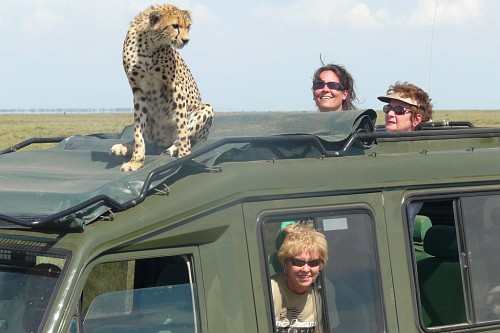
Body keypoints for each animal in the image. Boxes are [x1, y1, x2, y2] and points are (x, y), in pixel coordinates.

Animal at [110, 4, 214, 171]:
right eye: (175, 26)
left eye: (188, 26)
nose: (186, 40)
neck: (148, 44)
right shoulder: (138, 91)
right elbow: (138, 133)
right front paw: (136, 160)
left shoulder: (176, 88)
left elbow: (182, 129)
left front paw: (185, 156)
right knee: (148, 140)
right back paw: (122, 147)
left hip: (206, 109)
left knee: (181, 137)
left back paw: (171, 150)